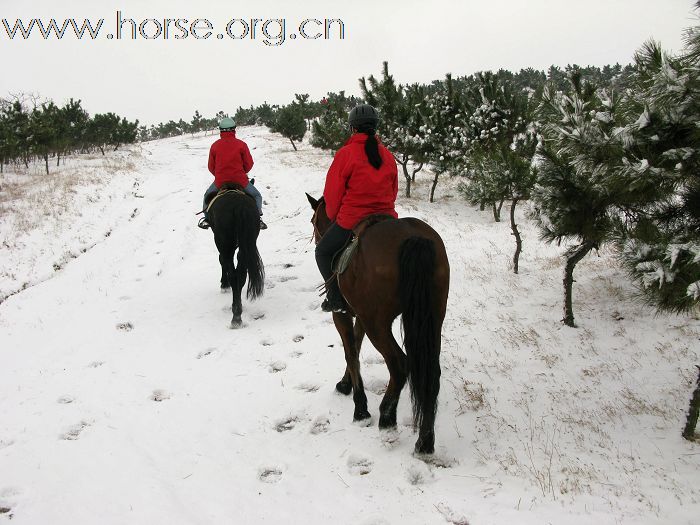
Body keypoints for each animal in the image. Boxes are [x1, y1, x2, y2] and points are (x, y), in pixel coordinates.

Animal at [304, 194, 448, 452]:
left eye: (313, 220)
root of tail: (413, 237)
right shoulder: (361, 315)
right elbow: (356, 344)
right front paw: (347, 384)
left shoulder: (343, 315)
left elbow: (351, 351)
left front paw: (359, 407)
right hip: (432, 319)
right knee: (431, 371)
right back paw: (425, 440)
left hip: (378, 324)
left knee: (399, 364)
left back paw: (387, 418)